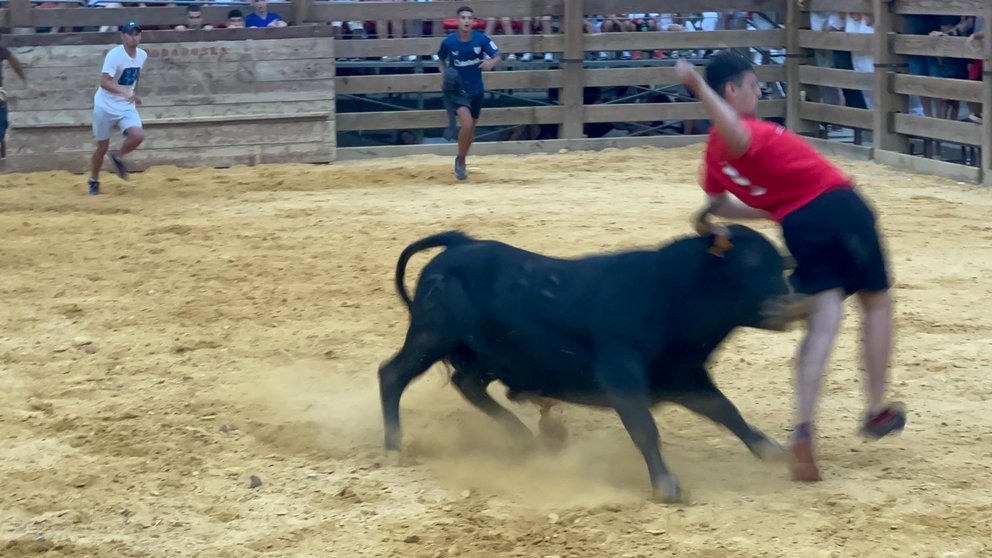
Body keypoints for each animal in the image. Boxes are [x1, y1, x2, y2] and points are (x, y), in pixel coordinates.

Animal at [376, 223, 808, 504]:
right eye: (747, 264)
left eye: (779, 266)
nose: (791, 306)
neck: (669, 291)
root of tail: (458, 245)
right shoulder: (622, 375)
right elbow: (644, 429)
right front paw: (666, 485)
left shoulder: (683, 375)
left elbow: (725, 409)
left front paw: (770, 449)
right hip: (430, 337)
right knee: (392, 375)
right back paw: (395, 445)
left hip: (479, 355)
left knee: (468, 385)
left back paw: (524, 437)